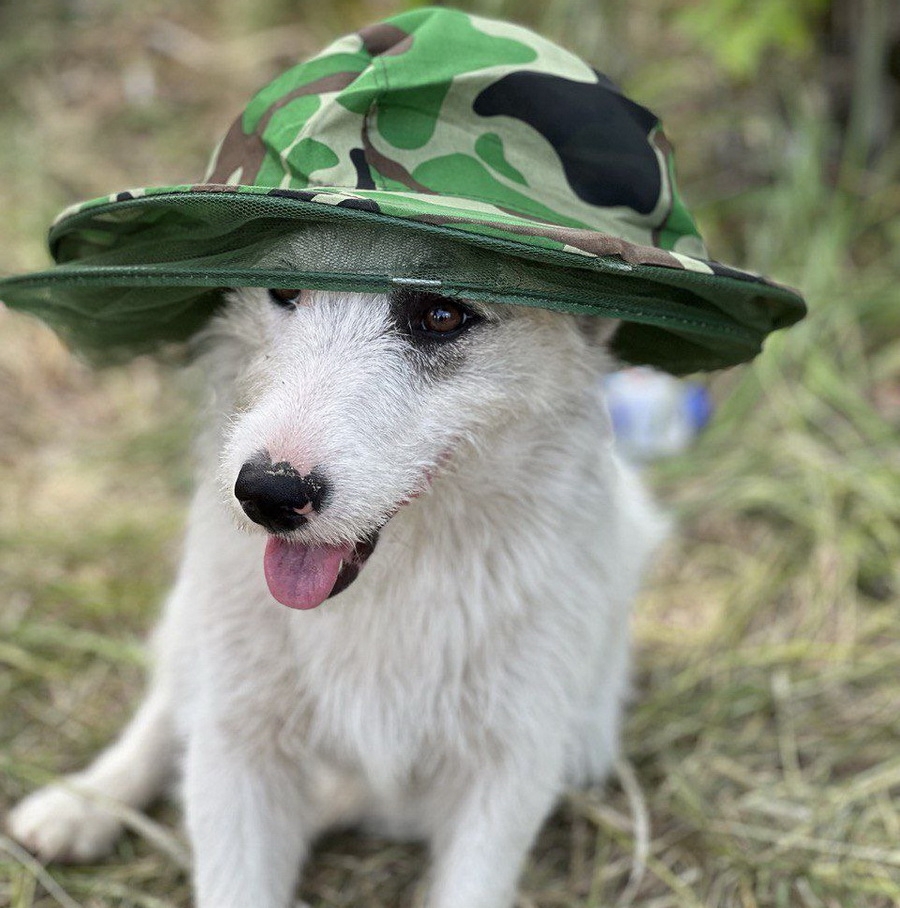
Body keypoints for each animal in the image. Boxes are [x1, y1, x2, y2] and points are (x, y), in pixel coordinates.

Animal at [10, 280, 664, 904]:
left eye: (443, 316)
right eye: (283, 290)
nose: (268, 494)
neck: (389, 585)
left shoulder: (507, 770)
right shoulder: (235, 745)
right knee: (168, 703)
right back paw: (82, 803)